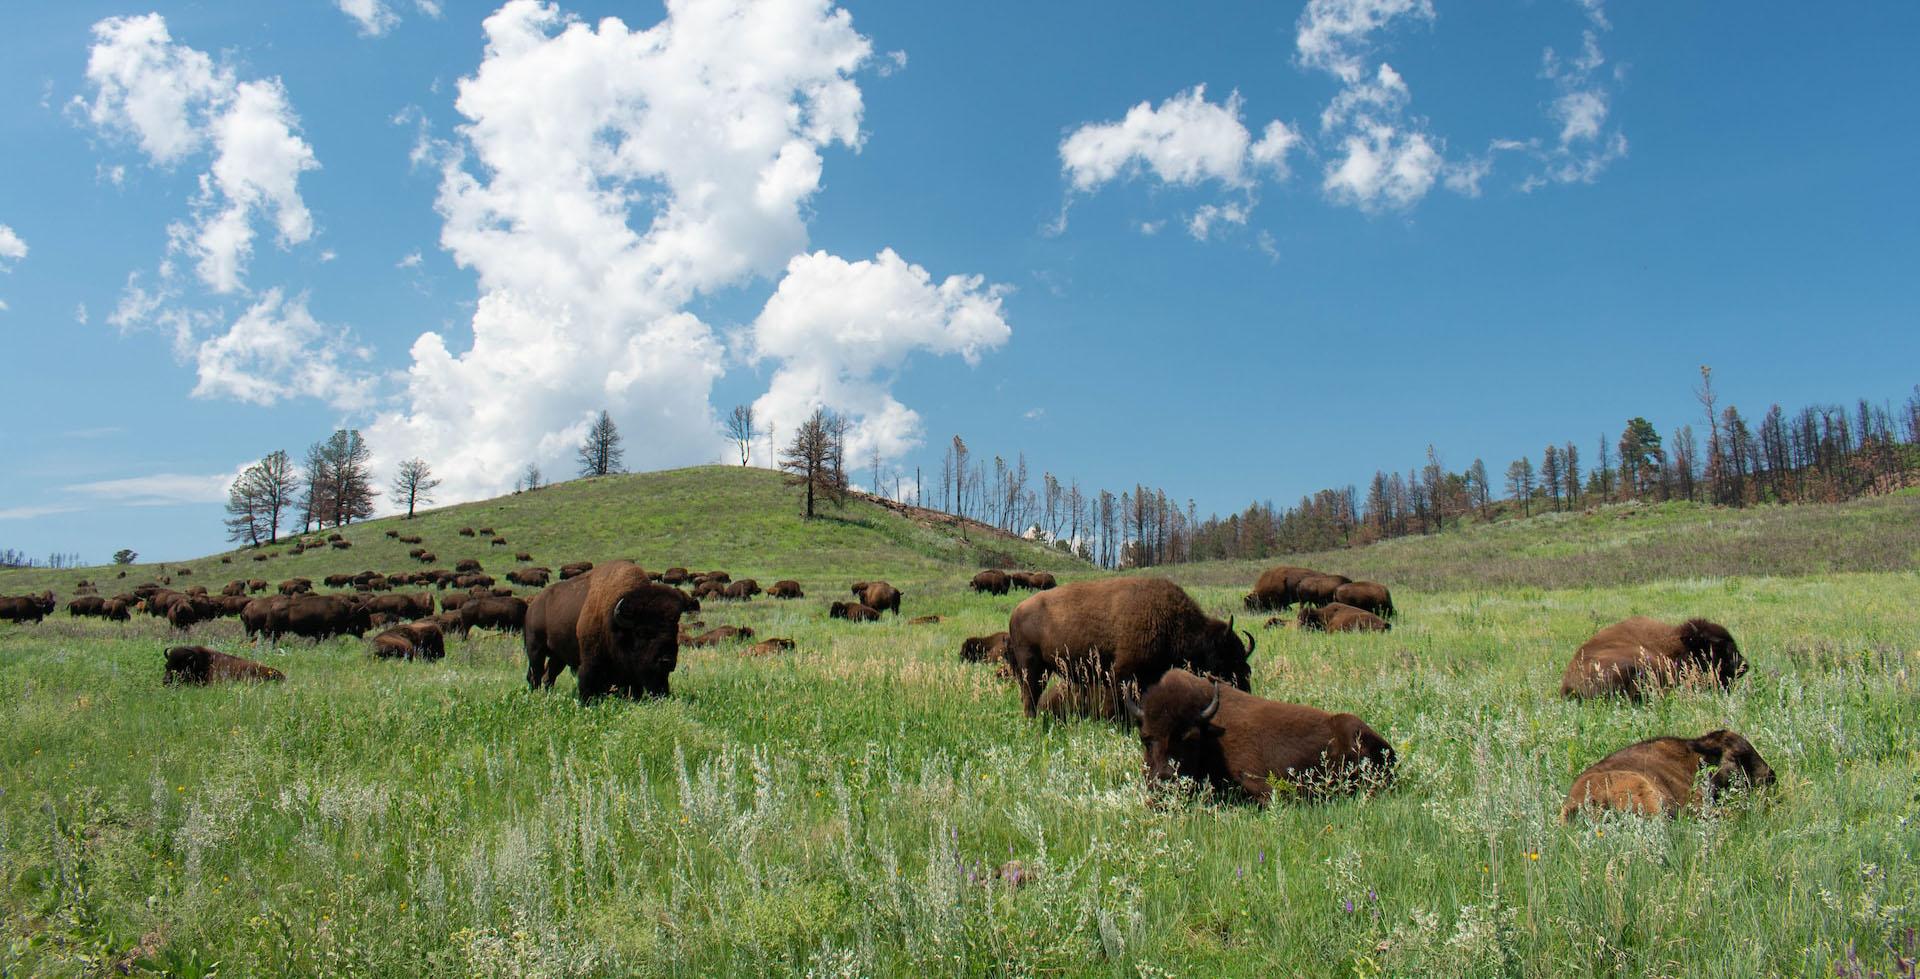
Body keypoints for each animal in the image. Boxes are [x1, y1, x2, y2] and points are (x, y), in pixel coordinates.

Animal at [1005, 577, 1253, 720]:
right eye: (1229, 657)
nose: (1245, 689)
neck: (1171, 621)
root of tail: (1016, 611)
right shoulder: (1122, 673)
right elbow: (1115, 703)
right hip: (1031, 666)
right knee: (1029, 694)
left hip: (1043, 669)